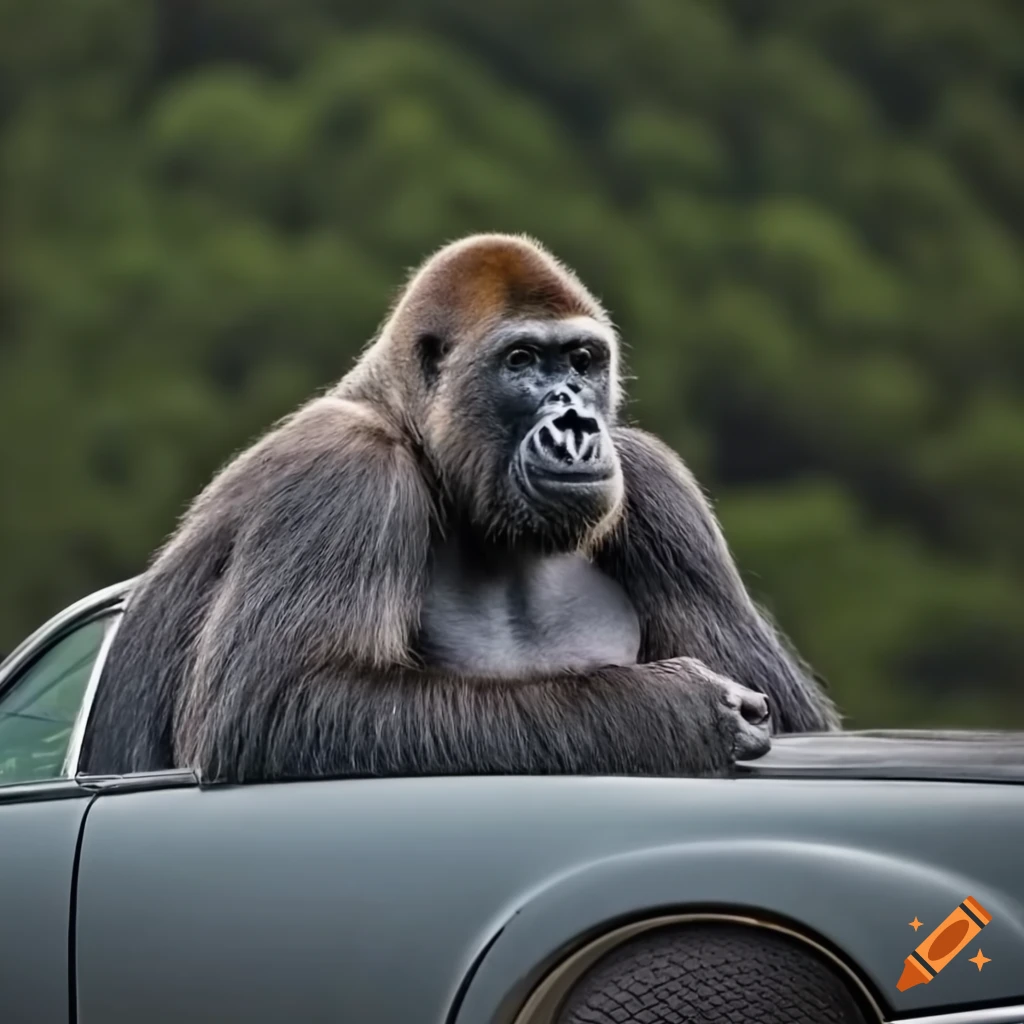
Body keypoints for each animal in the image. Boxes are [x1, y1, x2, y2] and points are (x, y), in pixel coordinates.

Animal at [80, 233, 839, 783]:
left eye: (583, 361)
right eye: (522, 360)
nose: (578, 426)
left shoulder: (655, 483)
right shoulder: (343, 470)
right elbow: (283, 705)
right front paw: (678, 710)